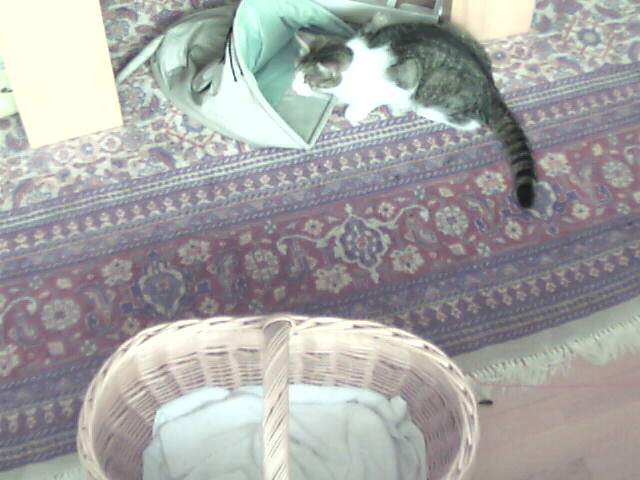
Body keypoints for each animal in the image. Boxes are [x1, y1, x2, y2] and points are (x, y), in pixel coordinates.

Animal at [292, 15, 537, 208]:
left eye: (307, 81)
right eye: (296, 72)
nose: (293, 87)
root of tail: (491, 87)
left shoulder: (406, 77)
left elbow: (363, 106)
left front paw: (365, 110)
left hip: (434, 86)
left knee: (469, 120)